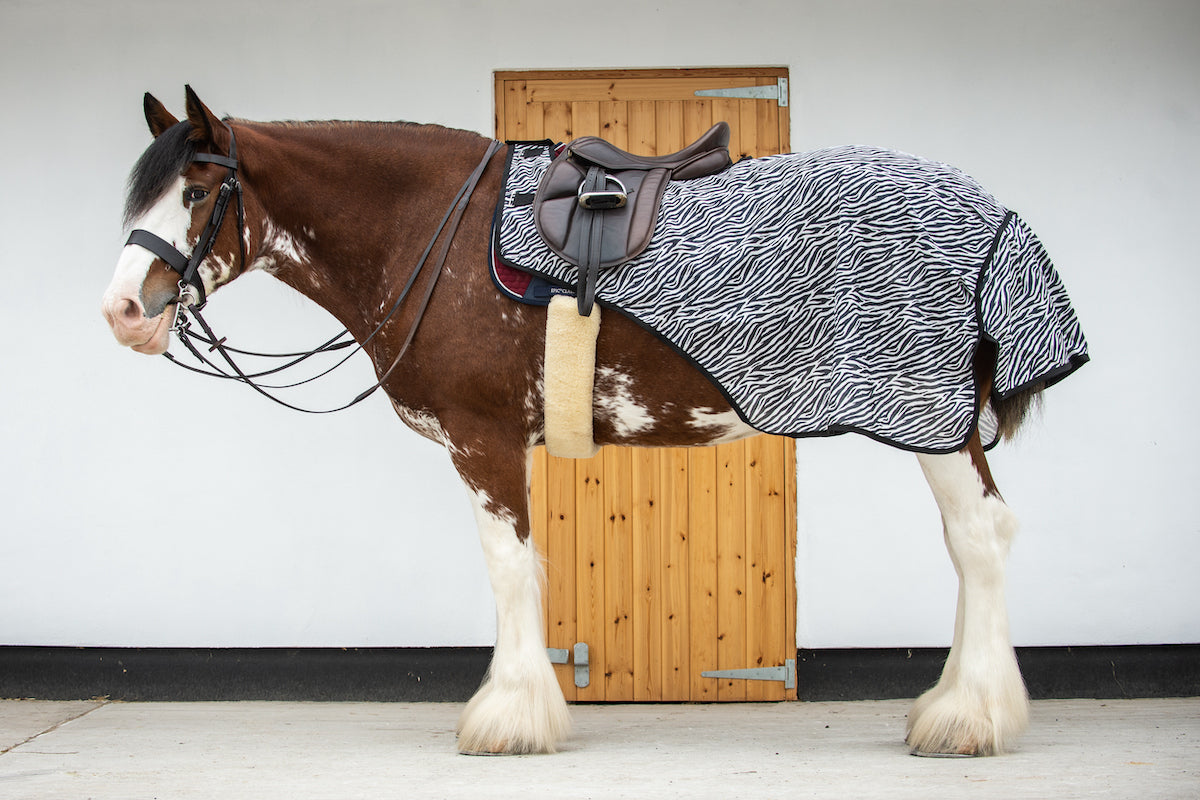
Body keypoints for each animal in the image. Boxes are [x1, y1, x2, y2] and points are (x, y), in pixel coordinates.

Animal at [101, 87, 1085, 757]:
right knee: (971, 542)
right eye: (139, 196)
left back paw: (968, 718)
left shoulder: (484, 441)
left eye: (198, 194)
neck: (435, 233)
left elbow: (508, 569)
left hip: (933, 424)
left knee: (980, 539)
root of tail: (996, 217)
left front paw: (509, 718)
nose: (122, 311)